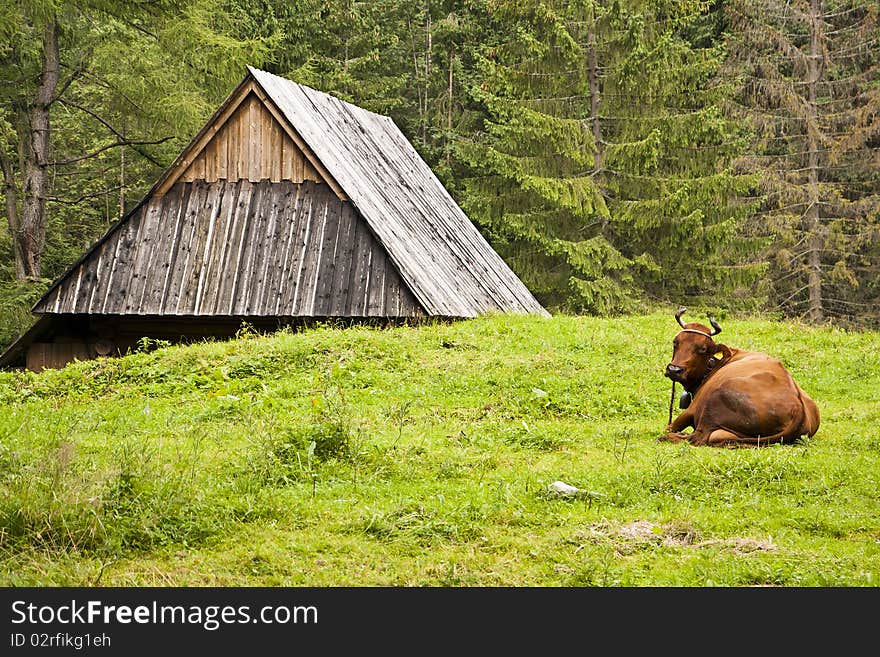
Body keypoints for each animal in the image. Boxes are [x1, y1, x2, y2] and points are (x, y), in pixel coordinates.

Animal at [664, 308, 820, 446]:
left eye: (703, 349)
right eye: (675, 342)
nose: (674, 370)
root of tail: (799, 411)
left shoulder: (691, 409)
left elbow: (669, 426)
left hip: (717, 397)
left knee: (694, 437)